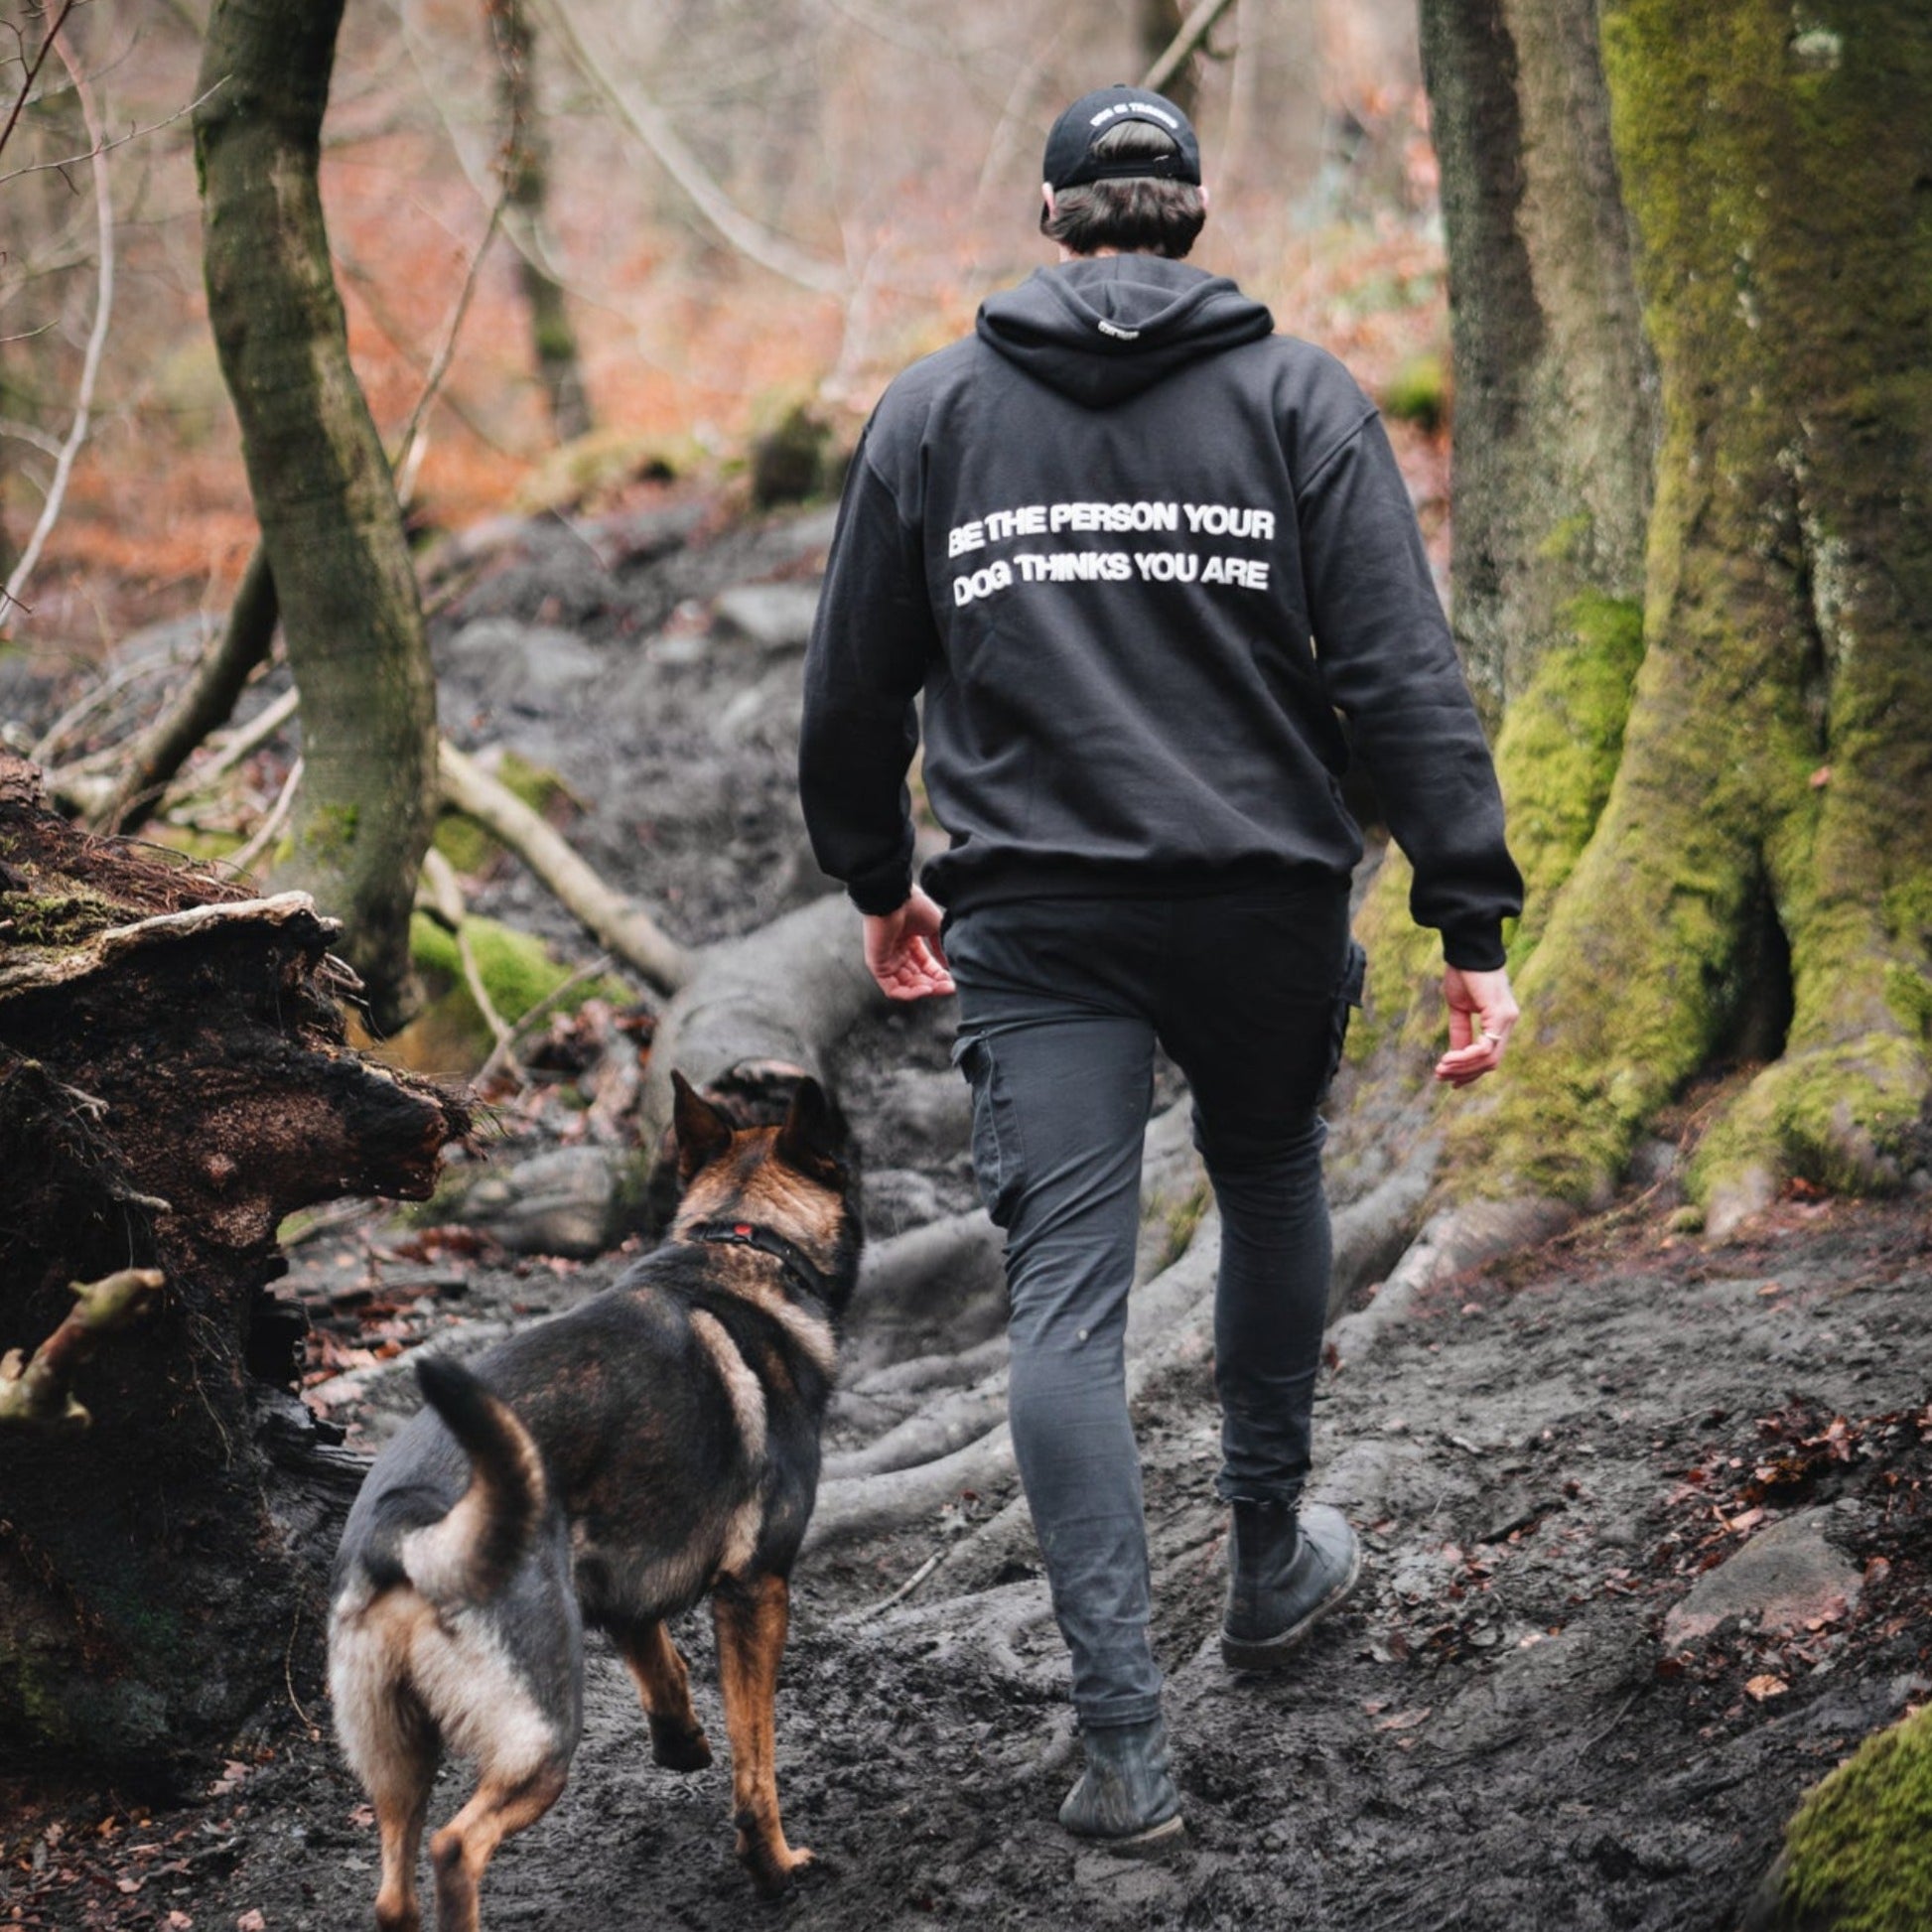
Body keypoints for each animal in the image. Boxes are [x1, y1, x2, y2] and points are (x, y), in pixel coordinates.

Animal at [328, 1073, 858, 1932]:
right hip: (542, 1738)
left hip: (397, 1761)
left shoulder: (618, 1578)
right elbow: (757, 1765)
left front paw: (681, 1743)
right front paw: (774, 1866)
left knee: (393, 1894)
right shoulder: (756, 1592)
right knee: (457, 1848)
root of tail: (404, 1532)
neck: (742, 1241)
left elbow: (662, 1664)